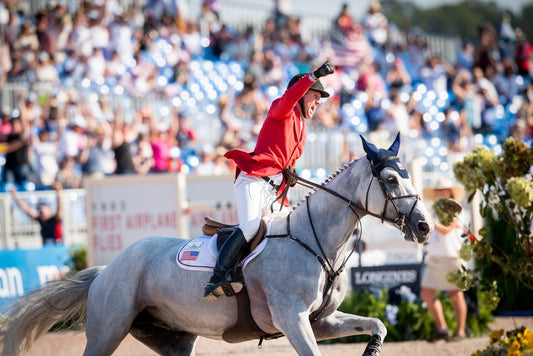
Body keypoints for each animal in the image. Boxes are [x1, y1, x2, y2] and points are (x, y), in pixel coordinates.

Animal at [0, 134, 432, 356]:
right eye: (391, 180)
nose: (424, 226)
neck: (316, 241)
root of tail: (107, 270)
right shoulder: (293, 320)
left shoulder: (320, 321)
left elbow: (377, 325)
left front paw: (372, 348)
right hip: (108, 331)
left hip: (173, 339)